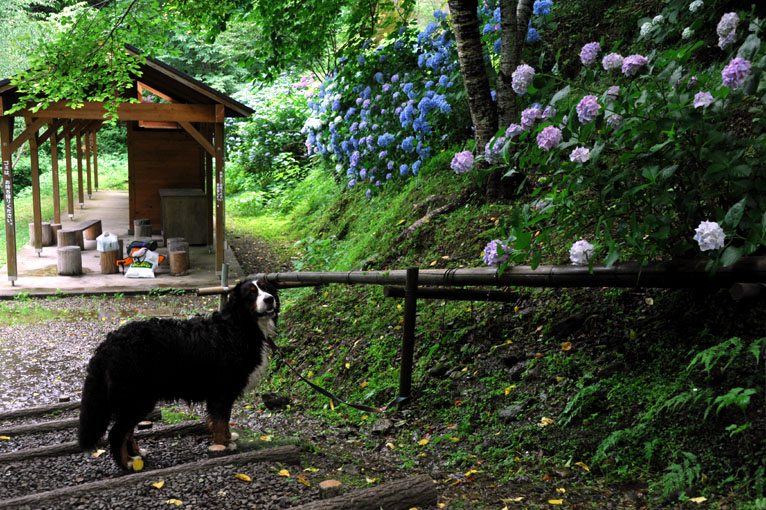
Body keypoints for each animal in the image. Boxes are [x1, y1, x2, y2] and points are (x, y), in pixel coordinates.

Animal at [77, 280, 280, 468]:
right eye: (251, 293)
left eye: (266, 288)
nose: (269, 299)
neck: (238, 326)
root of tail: (109, 343)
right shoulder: (222, 391)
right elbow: (221, 421)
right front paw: (225, 444)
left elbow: (220, 420)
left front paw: (228, 439)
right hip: (139, 398)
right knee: (118, 433)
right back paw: (127, 463)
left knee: (127, 431)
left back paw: (137, 454)